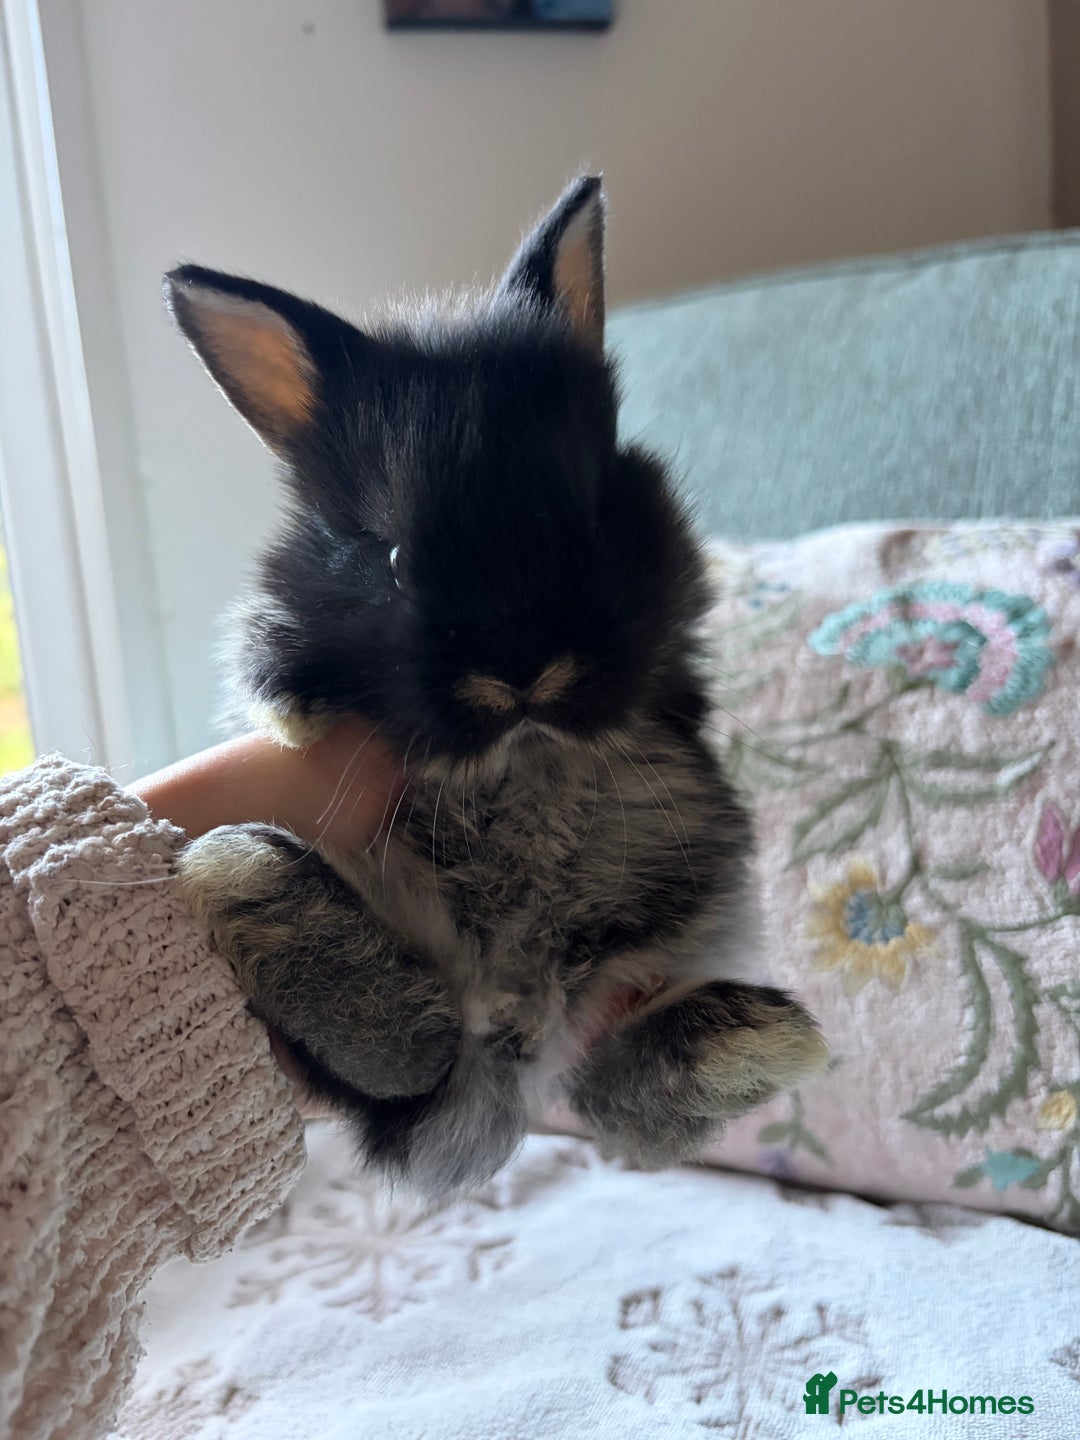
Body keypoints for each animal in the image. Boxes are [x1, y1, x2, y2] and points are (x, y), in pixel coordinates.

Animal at [168, 176, 827, 1198]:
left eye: (589, 522)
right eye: (394, 558)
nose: (520, 675)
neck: (522, 750)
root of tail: (512, 1023)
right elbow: (263, 642)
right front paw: (288, 704)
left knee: (613, 1095)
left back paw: (756, 1039)